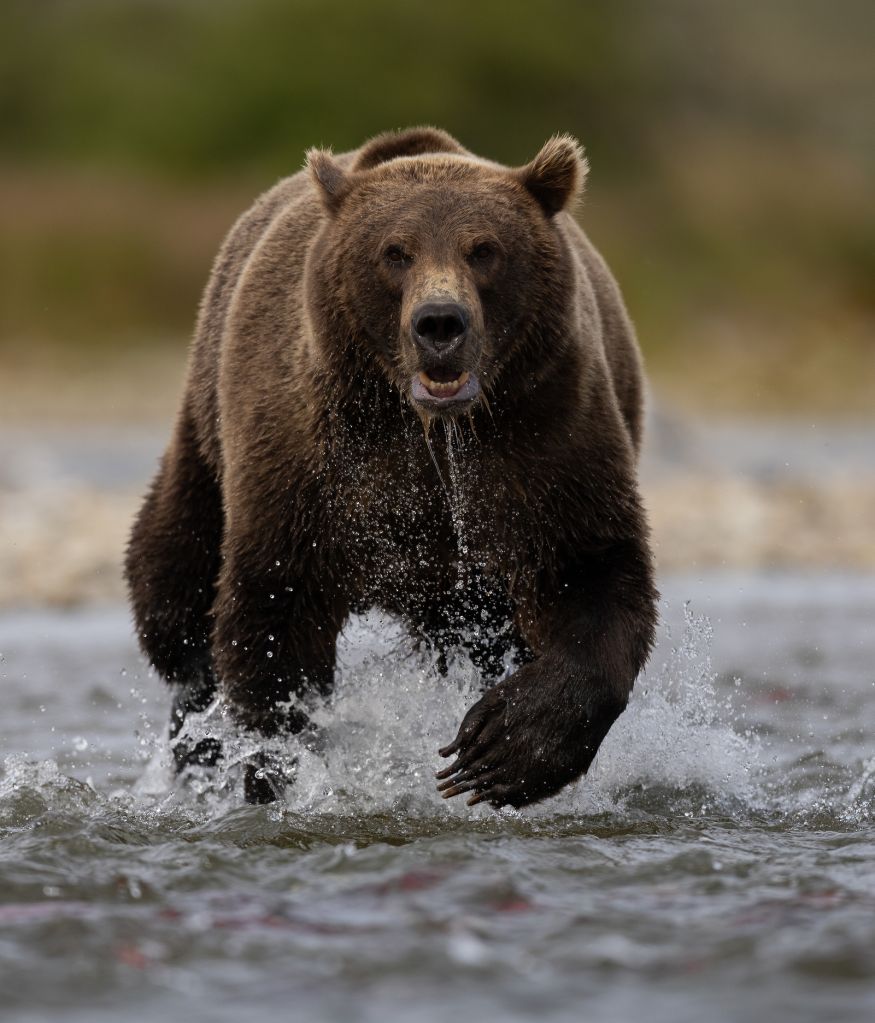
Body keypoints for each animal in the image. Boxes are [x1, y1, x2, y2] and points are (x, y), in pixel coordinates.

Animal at [125, 127, 658, 808]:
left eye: (484, 249)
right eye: (395, 252)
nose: (440, 322)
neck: (431, 426)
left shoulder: (545, 432)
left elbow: (591, 572)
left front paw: (500, 748)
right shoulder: (308, 462)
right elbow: (274, 618)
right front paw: (280, 769)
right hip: (207, 417)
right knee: (174, 586)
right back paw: (197, 739)